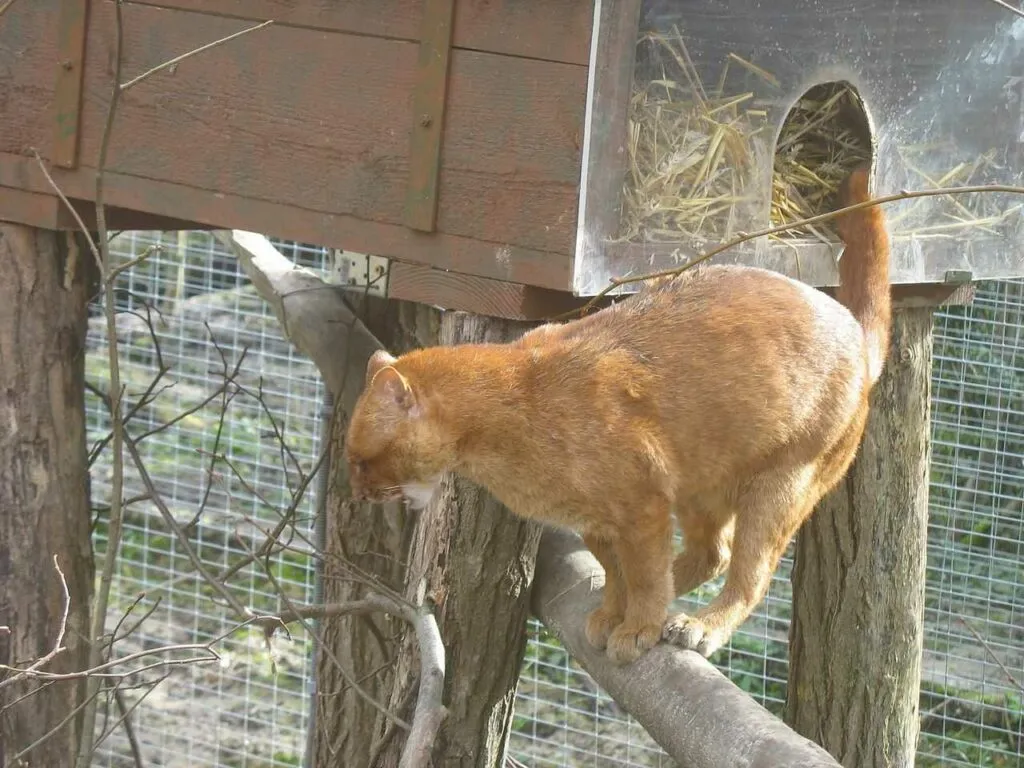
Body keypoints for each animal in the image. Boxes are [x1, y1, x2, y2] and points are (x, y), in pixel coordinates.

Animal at [344, 165, 888, 663]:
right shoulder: (600, 519)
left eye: (363, 459)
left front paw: (638, 627)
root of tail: (853, 331)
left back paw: (698, 625)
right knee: (713, 553)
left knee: (748, 575)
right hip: (702, 485)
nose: (358, 493)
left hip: (783, 483)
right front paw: (612, 613)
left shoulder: (641, 504)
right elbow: (618, 571)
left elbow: (643, 574)